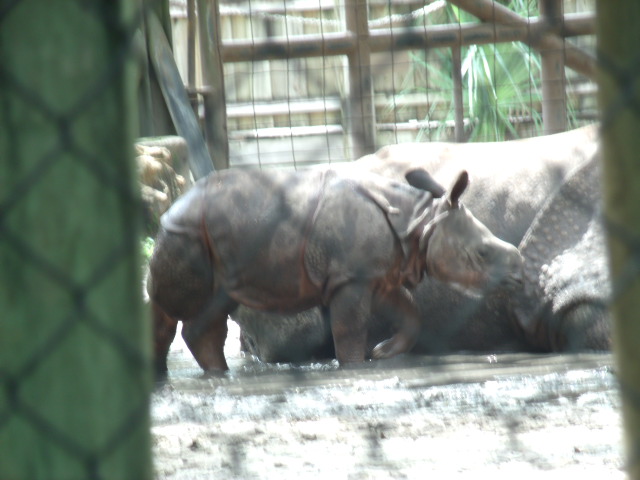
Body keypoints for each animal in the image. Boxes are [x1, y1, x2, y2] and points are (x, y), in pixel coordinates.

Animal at [147, 167, 523, 374]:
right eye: (483, 253)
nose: (519, 268)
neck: (421, 220)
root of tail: (173, 205)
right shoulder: (350, 280)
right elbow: (349, 329)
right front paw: (356, 364)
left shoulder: (377, 276)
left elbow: (411, 313)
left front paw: (382, 352)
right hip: (191, 235)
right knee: (197, 310)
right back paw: (217, 374)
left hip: (197, 235)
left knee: (172, 306)